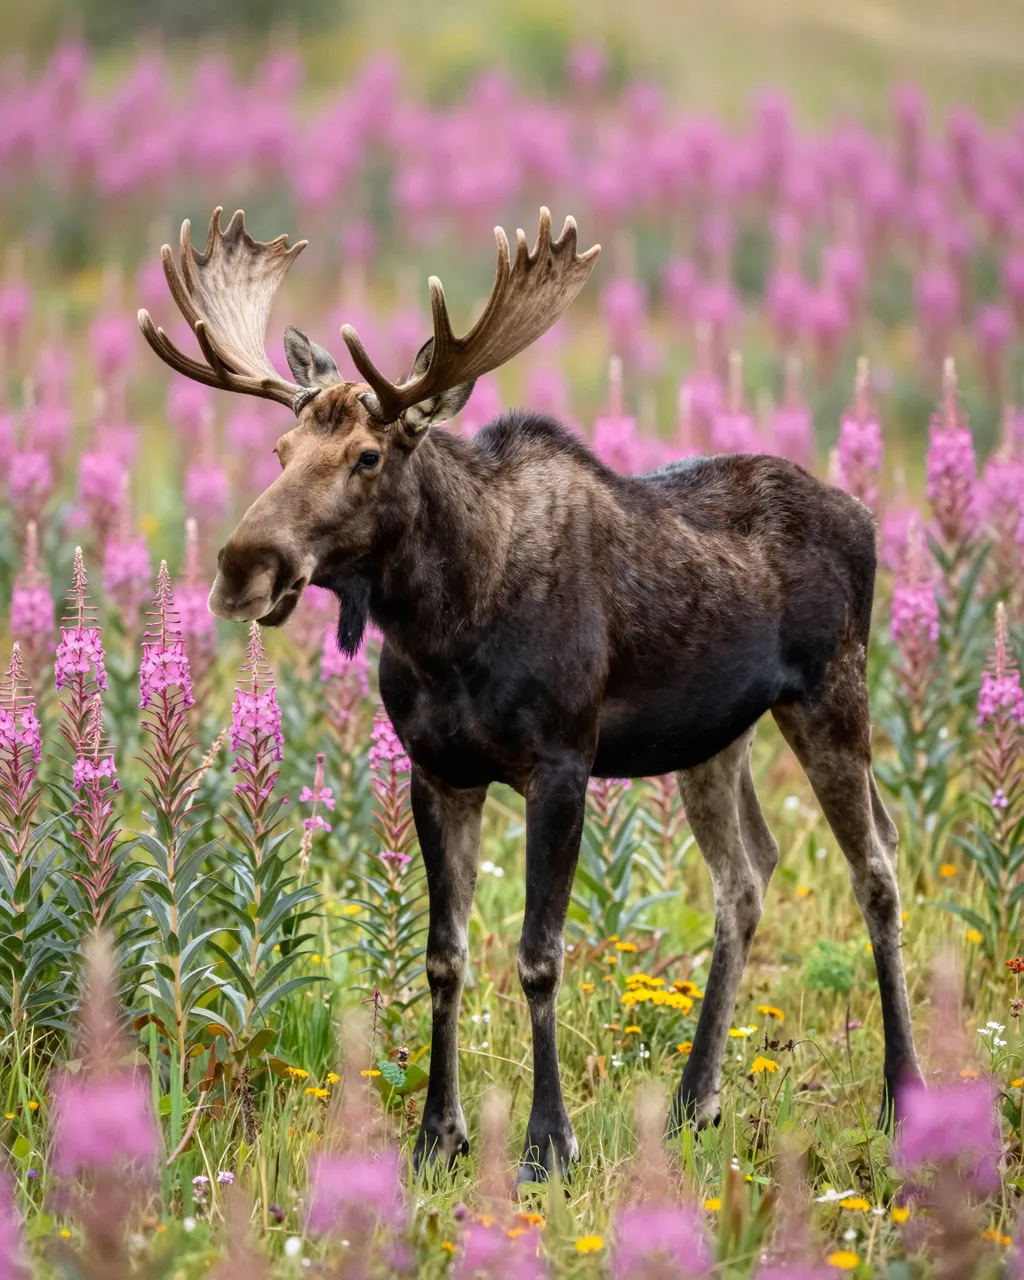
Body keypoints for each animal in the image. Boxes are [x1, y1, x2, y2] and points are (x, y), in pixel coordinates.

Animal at [139, 206, 923, 1182]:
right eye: (280, 450)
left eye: (367, 456)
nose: (243, 567)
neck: (447, 630)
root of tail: (867, 517)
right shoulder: (438, 771)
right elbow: (444, 958)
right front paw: (437, 1137)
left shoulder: (561, 762)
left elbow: (539, 955)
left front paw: (548, 1144)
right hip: (715, 736)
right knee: (747, 874)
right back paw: (693, 1100)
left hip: (831, 691)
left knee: (878, 866)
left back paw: (903, 1094)